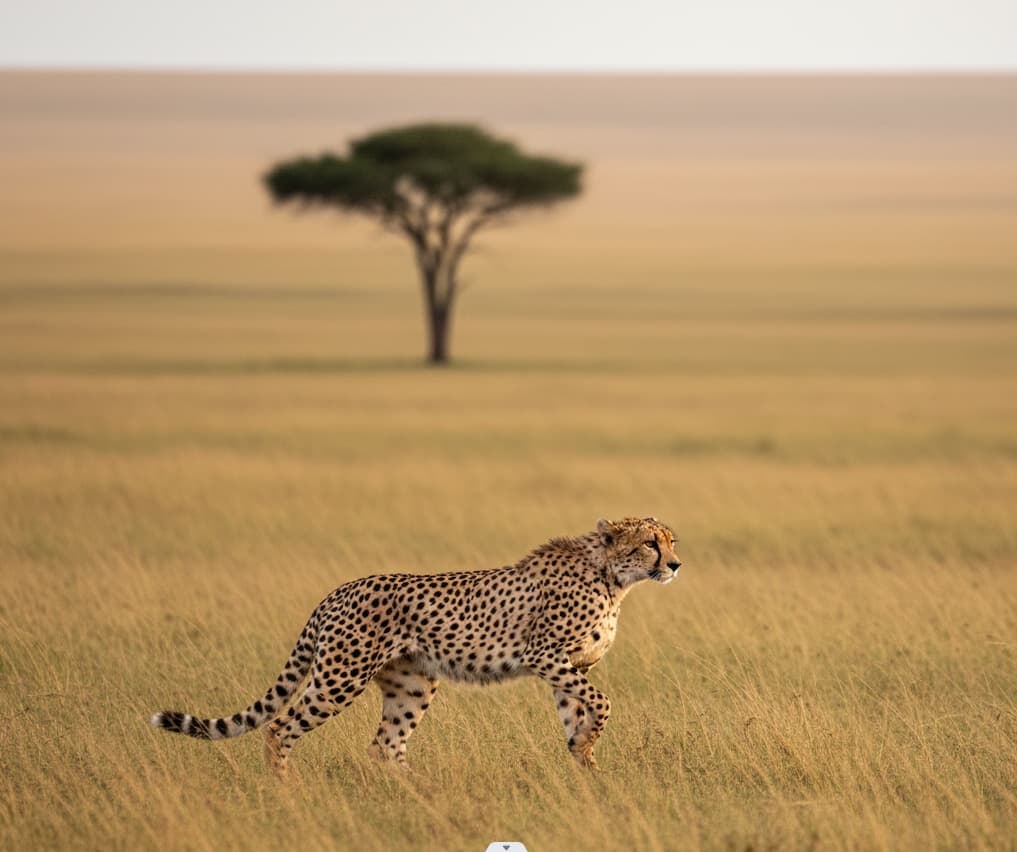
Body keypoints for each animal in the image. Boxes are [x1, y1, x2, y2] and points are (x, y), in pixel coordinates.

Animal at [150, 516, 682, 777]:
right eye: (650, 544)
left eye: (671, 540)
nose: (676, 564)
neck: (613, 577)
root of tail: (338, 590)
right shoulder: (546, 656)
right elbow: (604, 703)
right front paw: (588, 755)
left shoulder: (570, 667)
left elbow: (579, 714)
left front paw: (587, 768)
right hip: (340, 678)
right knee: (281, 727)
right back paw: (283, 790)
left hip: (413, 684)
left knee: (385, 744)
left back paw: (418, 792)